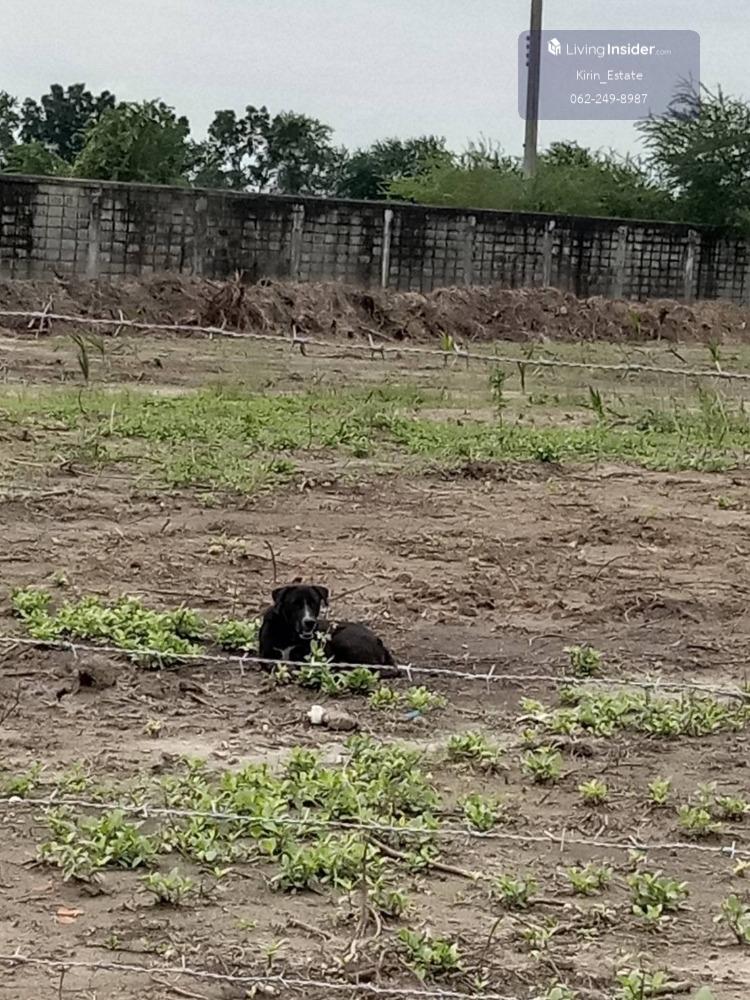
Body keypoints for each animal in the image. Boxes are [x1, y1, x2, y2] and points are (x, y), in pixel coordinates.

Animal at [258, 583, 396, 668]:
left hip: (343, 639)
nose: (309, 622)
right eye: (294, 604)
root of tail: (378, 641)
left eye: (314, 603)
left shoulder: (305, 656)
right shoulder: (266, 655)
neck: (289, 633)